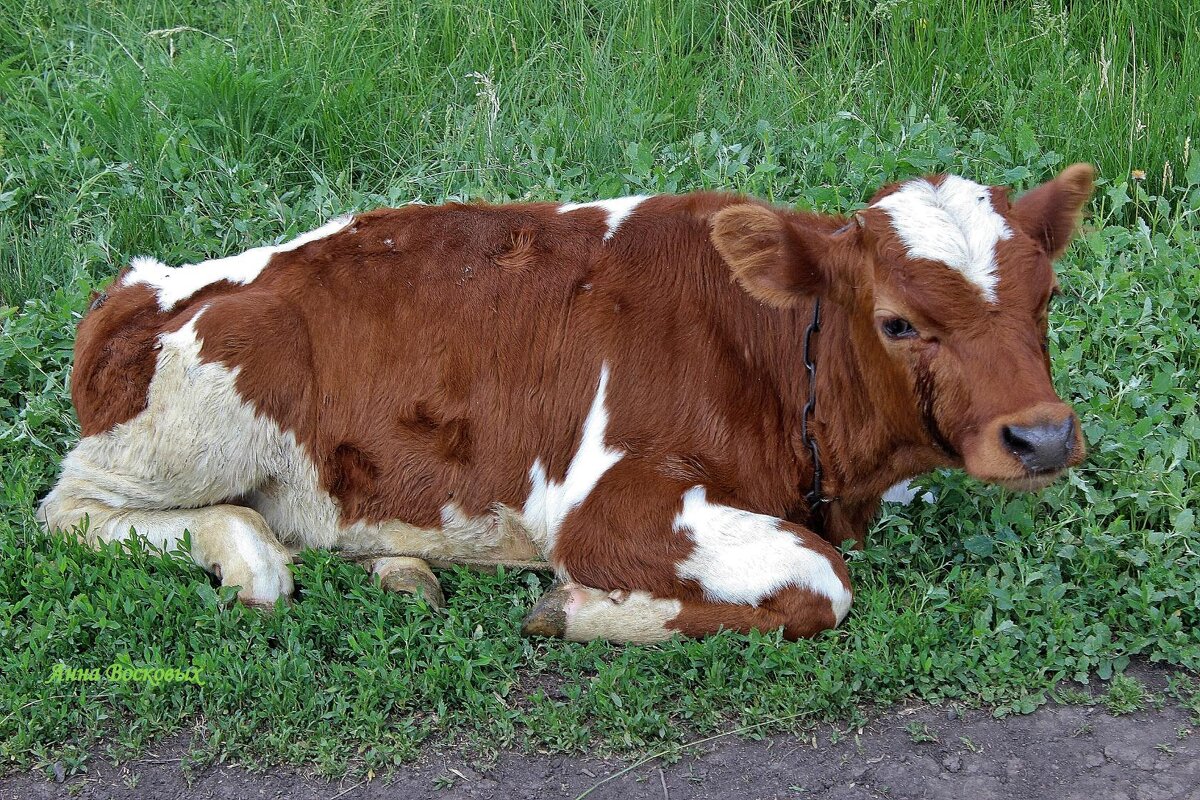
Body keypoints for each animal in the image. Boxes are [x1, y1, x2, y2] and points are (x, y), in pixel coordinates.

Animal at [37, 164, 1094, 642]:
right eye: (898, 322)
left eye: (1047, 298)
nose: (1042, 438)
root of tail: (147, 284)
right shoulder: (607, 501)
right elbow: (820, 580)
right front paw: (586, 607)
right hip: (197, 423)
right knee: (74, 509)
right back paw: (247, 554)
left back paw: (402, 570)